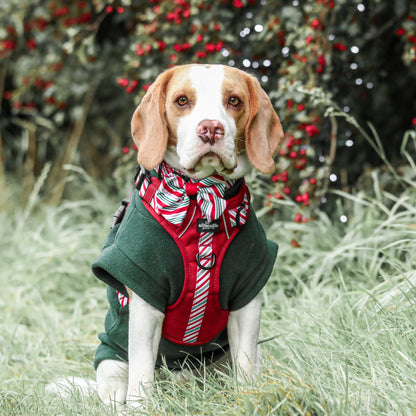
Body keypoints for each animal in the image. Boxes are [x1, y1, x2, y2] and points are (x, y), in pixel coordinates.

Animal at [94, 63, 282, 408]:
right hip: (111, 363)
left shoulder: (247, 300)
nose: (210, 128)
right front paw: (142, 410)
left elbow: (246, 365)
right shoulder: (146, 301)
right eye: (182, 101)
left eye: (234, 101)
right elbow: (141, 375)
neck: (203, 197)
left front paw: (249, 401)